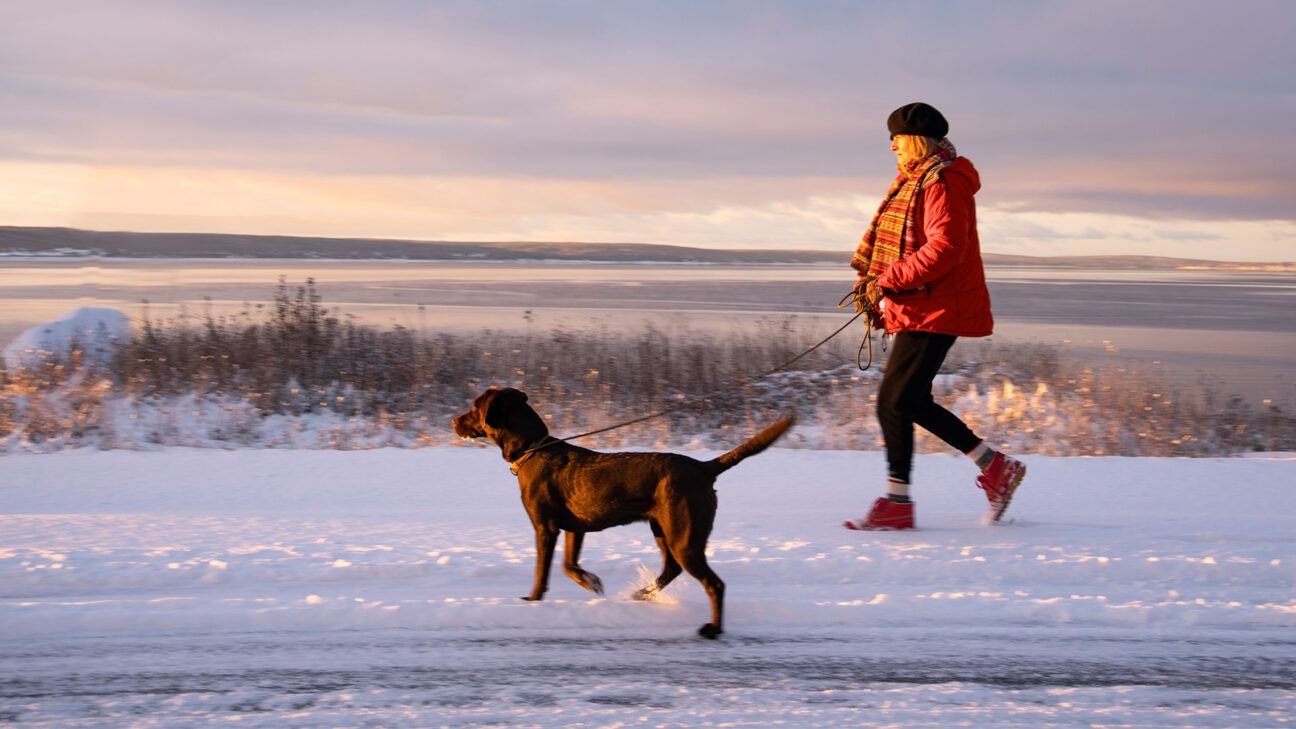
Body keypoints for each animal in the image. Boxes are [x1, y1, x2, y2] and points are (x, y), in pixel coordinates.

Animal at [451, 386, 793, 635]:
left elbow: (542, 570)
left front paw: (532, 601)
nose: (454, 421)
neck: (532, 450)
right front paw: (591, 581)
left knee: (713, 583)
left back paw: (712, 629)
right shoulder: (576, 527)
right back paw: (642, 595)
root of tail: (703, 467)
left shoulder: (545, 527)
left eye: (475, 406)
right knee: (672, 569)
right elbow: (568, 564)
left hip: (683, 534)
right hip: (663, 529)